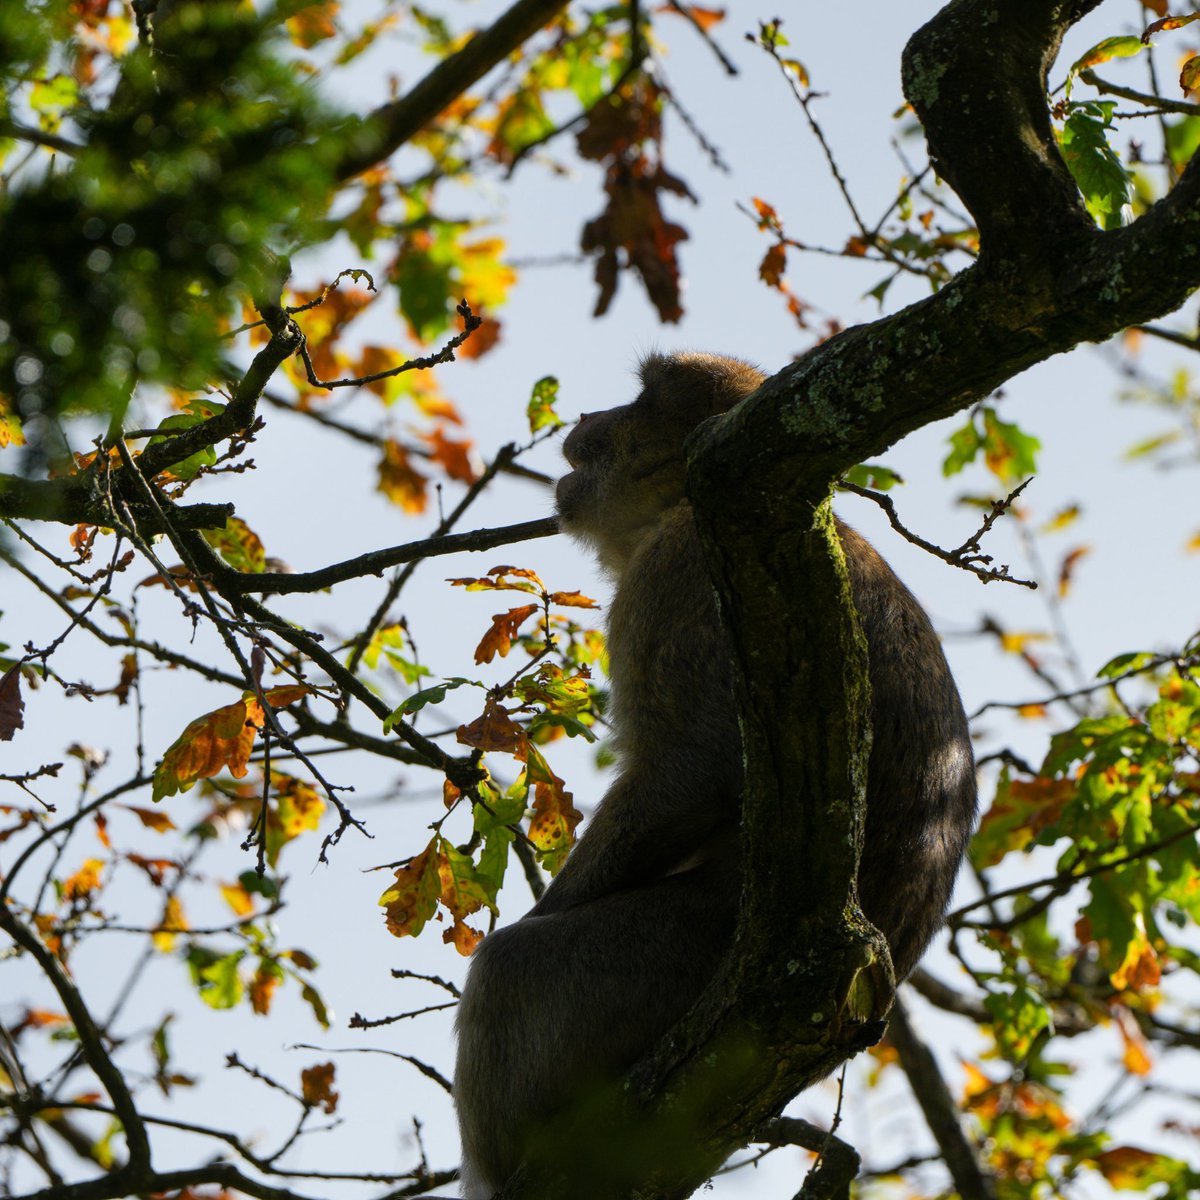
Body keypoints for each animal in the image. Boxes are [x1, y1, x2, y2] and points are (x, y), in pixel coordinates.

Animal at [453, 351, 977, 1199]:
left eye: (638, 400)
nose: (587, 420)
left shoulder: (679, 566)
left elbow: (691, 771)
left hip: (664, 962)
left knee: (509, 974)